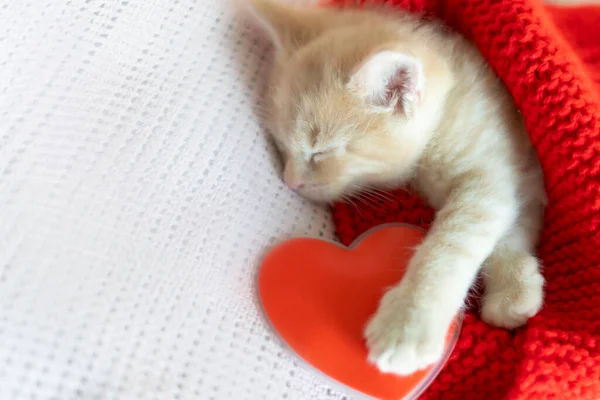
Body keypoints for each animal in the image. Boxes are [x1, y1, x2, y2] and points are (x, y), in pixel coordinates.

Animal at [246, 0, 548, 376]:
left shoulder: (494, 172)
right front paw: (516, 287)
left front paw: (410, 322)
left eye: (320, 152)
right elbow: (511, 224)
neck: (445, 113)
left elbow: (458, 240)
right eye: (281, 145)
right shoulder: (513, 175)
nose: (290, 180)